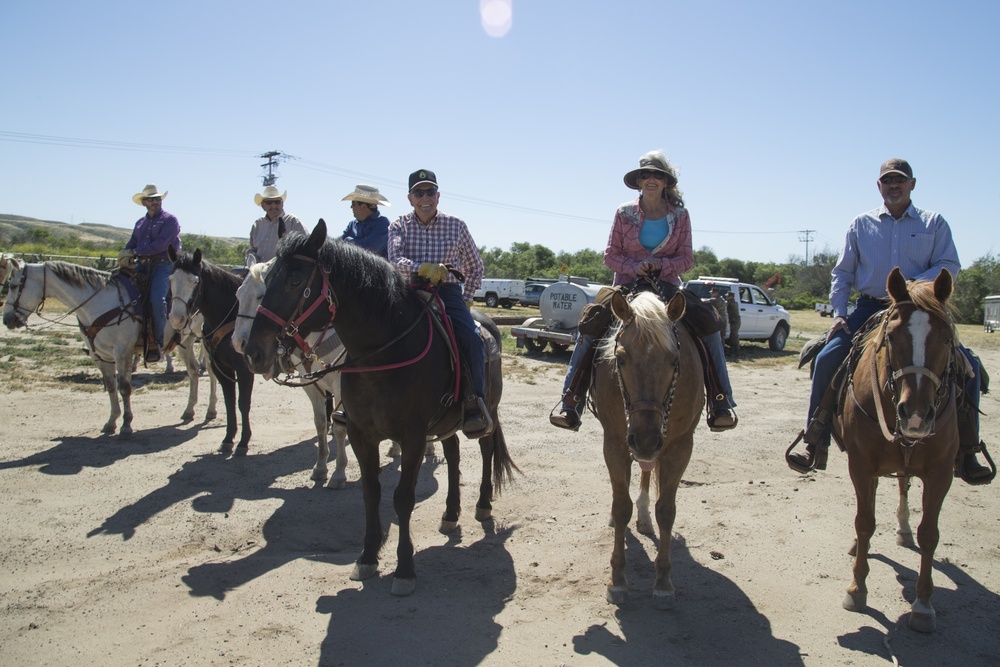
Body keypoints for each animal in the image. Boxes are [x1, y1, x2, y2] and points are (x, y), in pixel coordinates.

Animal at [170, 249, 254, 454]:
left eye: (195, 281)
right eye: (171, 279)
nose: (177, 318)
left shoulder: (244, 369)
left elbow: (243, 403)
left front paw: (243, 442)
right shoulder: (220, 366)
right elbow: (229, 402)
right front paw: (228, 439)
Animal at [242, 222, 516, 596]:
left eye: (295, 281)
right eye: (267, 281)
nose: (254, 352)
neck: (384, 353)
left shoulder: (412, 437)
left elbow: (403, 498)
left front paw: (404, 569)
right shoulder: (362, 434)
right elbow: (371, 492)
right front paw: (367, 557)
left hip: (486, 410)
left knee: (486, 450)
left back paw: (483, 505)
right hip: (446, 420)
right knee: (453, 453)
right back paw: (450, 514)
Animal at [588, 290, 708, 608]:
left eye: (674, 359)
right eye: (620, 358)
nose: (645, 439)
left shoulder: (680, 446)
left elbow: (666, 510)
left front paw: (663, 582)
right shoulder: (615, 443)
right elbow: (621, 507)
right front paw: (617, 579)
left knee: (645, 470)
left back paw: (644, 517)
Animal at [840, 266, 964, 632]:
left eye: (947, 339)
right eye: (892, 337)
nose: (917, 415)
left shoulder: (941, 472)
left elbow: (930, 534)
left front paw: (923, 604)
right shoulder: (860, 465)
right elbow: (864, 521)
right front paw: (857, 588)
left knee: (903, 487)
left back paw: (903, 529)